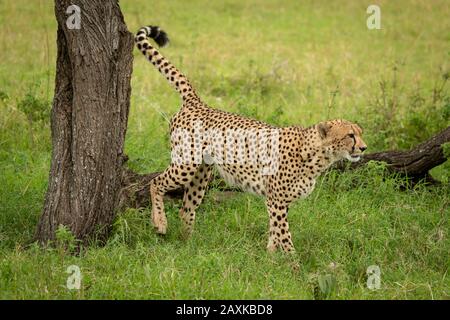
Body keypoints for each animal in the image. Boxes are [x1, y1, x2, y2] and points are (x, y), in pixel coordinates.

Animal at [134, 25, 366, 252]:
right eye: (350, 135)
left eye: (360, 133)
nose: (364, 148)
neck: (316, 156)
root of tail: (198, 103)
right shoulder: (277, 201)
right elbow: (285, 237)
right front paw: (293, 263)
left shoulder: (277, 202)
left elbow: (275, 234)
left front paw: (270, 258)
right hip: (186, 163)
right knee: (156, 182)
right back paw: (160, 223)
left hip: (202, 172)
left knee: (186, 209)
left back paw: (187, 245)